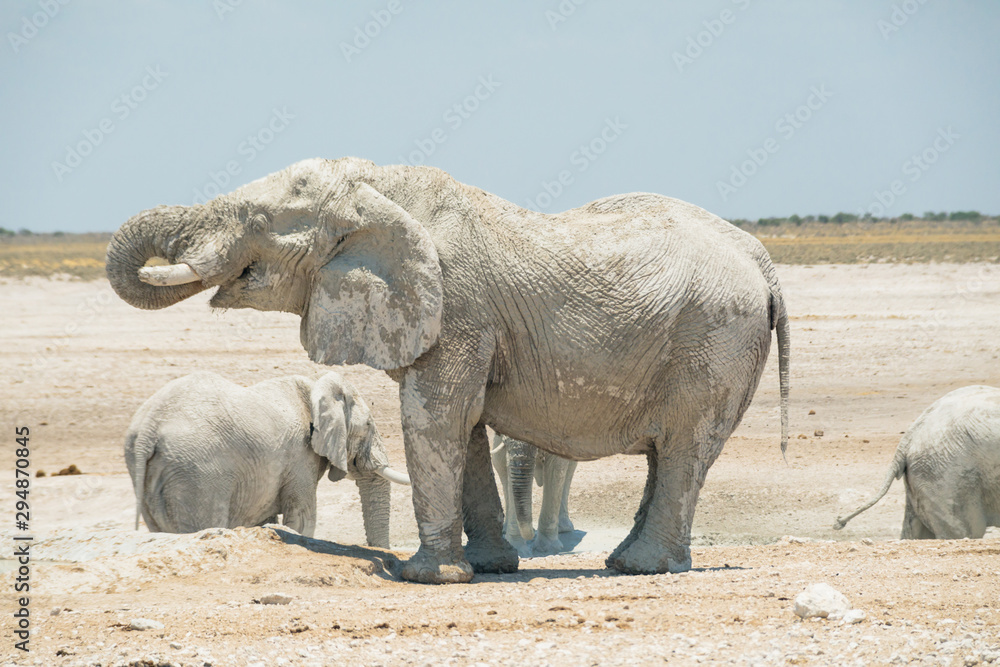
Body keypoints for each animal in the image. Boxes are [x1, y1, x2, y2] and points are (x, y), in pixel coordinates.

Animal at [123, 370, 410, 547]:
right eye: (368, 426)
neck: (314, 384)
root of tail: (149, 426)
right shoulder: (300, 456)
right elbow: (302, 520)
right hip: (196, 473)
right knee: (205, 523)